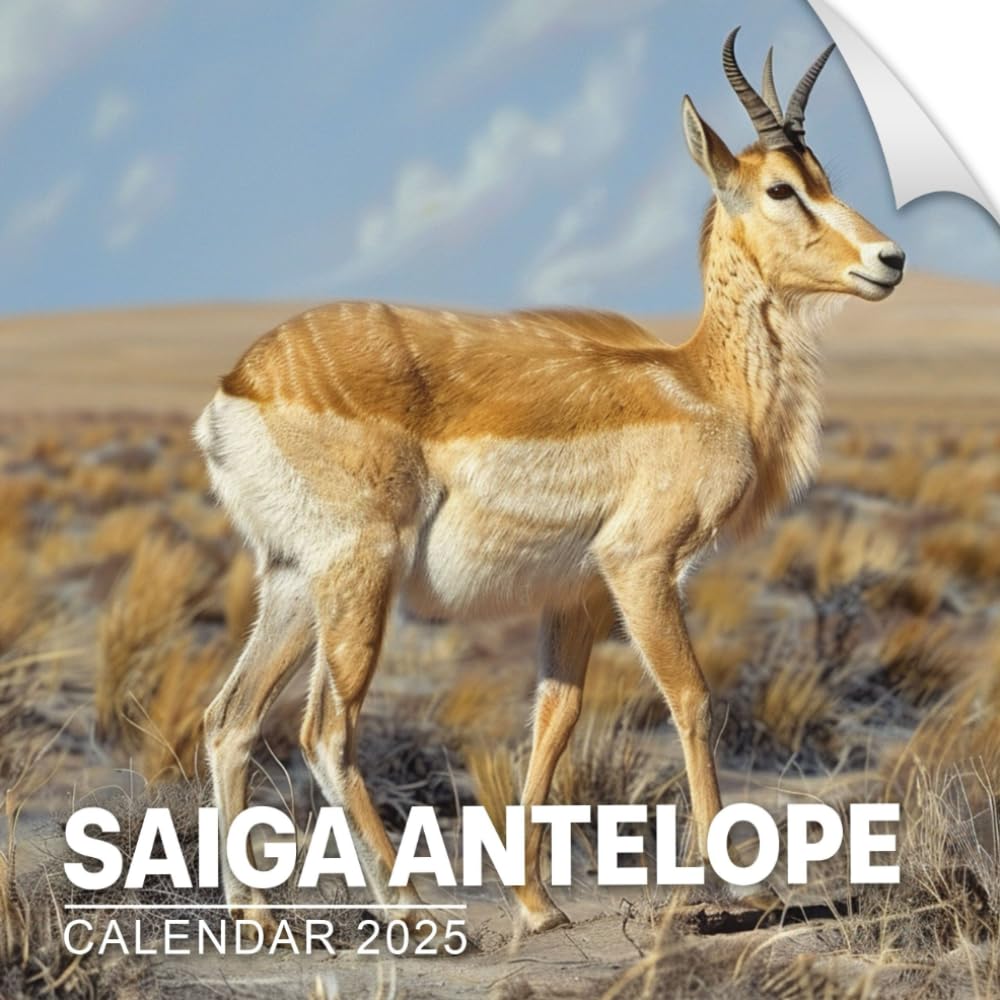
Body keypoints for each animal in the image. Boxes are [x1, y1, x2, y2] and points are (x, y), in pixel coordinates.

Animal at [194, 27, 905, 936]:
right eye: (782, 187)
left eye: (824, 178)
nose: (889, 260)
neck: (702, 385)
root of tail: (240, 384)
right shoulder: (641, 567)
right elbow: (694, 698)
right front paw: (729, 886)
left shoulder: (576, 595)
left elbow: (553, 721)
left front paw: (536, 904)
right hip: (360, 575)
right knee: (324, 727)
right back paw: (411, 906)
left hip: (292, 583)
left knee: (232, 719)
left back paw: (254, 914)